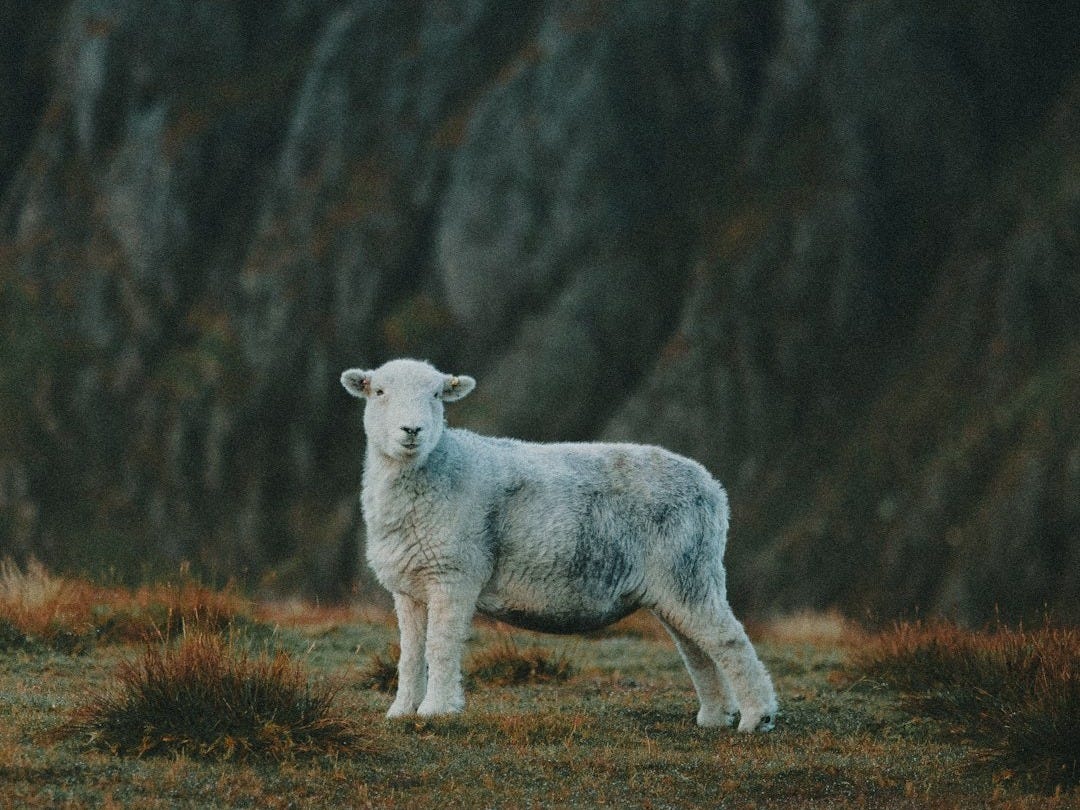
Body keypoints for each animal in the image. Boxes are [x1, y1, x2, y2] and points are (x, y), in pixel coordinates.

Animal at [340, 358, 777, 731]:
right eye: (378, 391)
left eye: (435, 394)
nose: (412, 430)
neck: (436, 468)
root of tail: (712, 487)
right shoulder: (410, 586)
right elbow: (411, 653)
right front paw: (401, 711)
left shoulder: (454, 573)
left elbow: (440, 646)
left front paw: (437, 710)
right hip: (678, 581)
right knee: (697, 647)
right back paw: (715, 716)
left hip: (688, 567)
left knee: (728, 640)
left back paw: (758, 717)